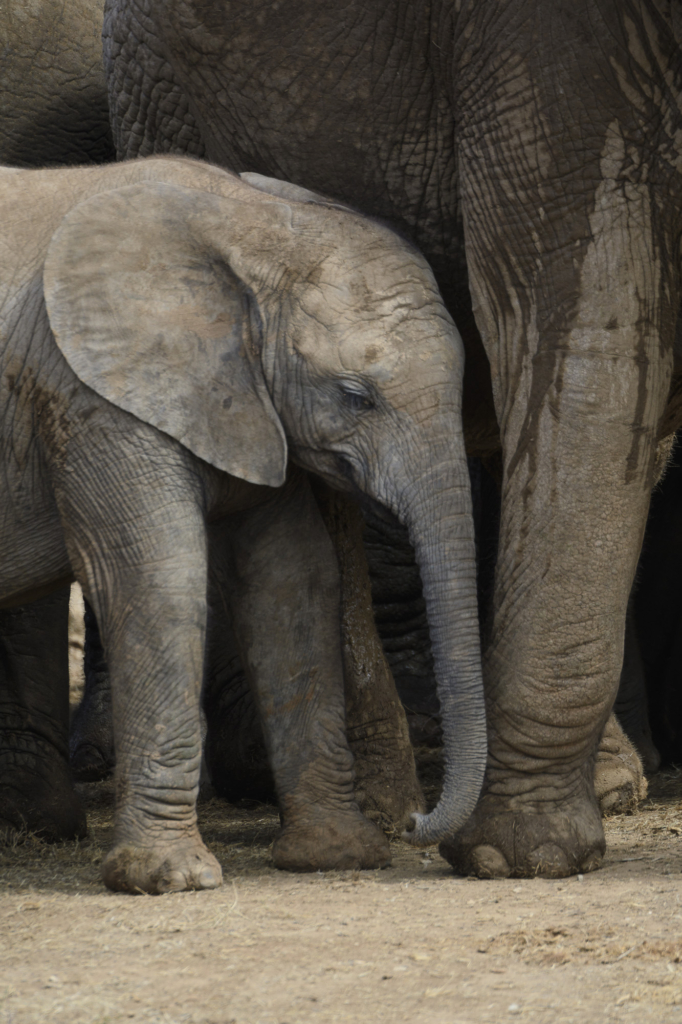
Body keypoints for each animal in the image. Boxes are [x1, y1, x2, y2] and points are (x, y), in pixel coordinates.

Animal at [0, 155, 483, 892]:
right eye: (356, 398)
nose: (414, 823)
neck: (255, 225)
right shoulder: (93, 395)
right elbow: (156, 576)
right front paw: (170, 878)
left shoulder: (249, 406)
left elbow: (292, 580)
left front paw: (336, 854)